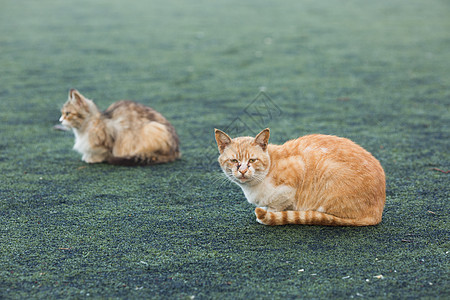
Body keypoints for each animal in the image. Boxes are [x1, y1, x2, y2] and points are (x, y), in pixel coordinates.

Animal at [216, 127, 384, 226]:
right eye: (234, 161)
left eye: (252, 160)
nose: (243, 171)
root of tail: (378, 213)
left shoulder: (295, 173)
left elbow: (275, 207)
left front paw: (269, 213)